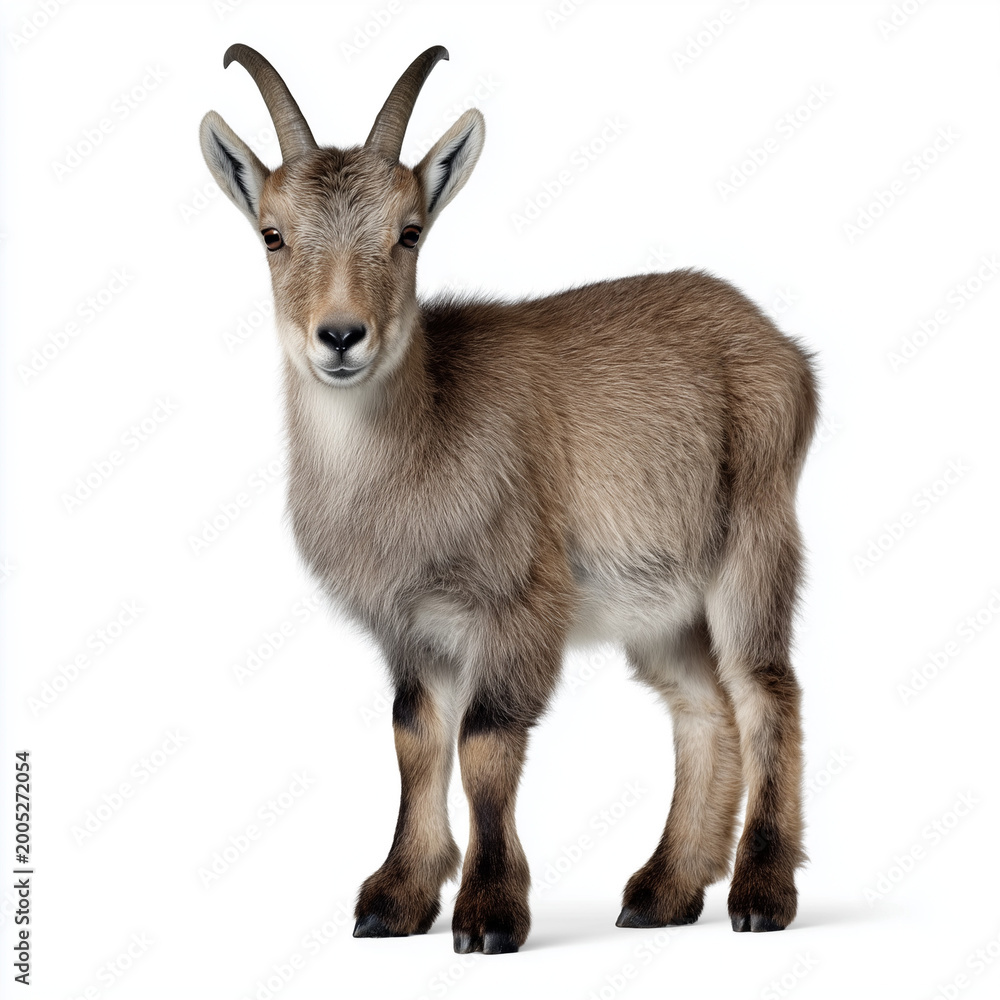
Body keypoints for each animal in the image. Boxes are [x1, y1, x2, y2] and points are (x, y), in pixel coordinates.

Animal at [200, 43, 818, 955]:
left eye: (409, 230)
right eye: (272, 234)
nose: (341, 336)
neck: (420, 447)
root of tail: (786, 352)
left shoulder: (521, 602)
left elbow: (486, 742)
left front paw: (489, 912)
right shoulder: (412, 627)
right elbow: (416, 739)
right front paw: (394, 899)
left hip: (752, 544)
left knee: (765, 690)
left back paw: (761, 893)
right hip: (662, 604)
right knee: (703, 709)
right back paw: (662, 890)